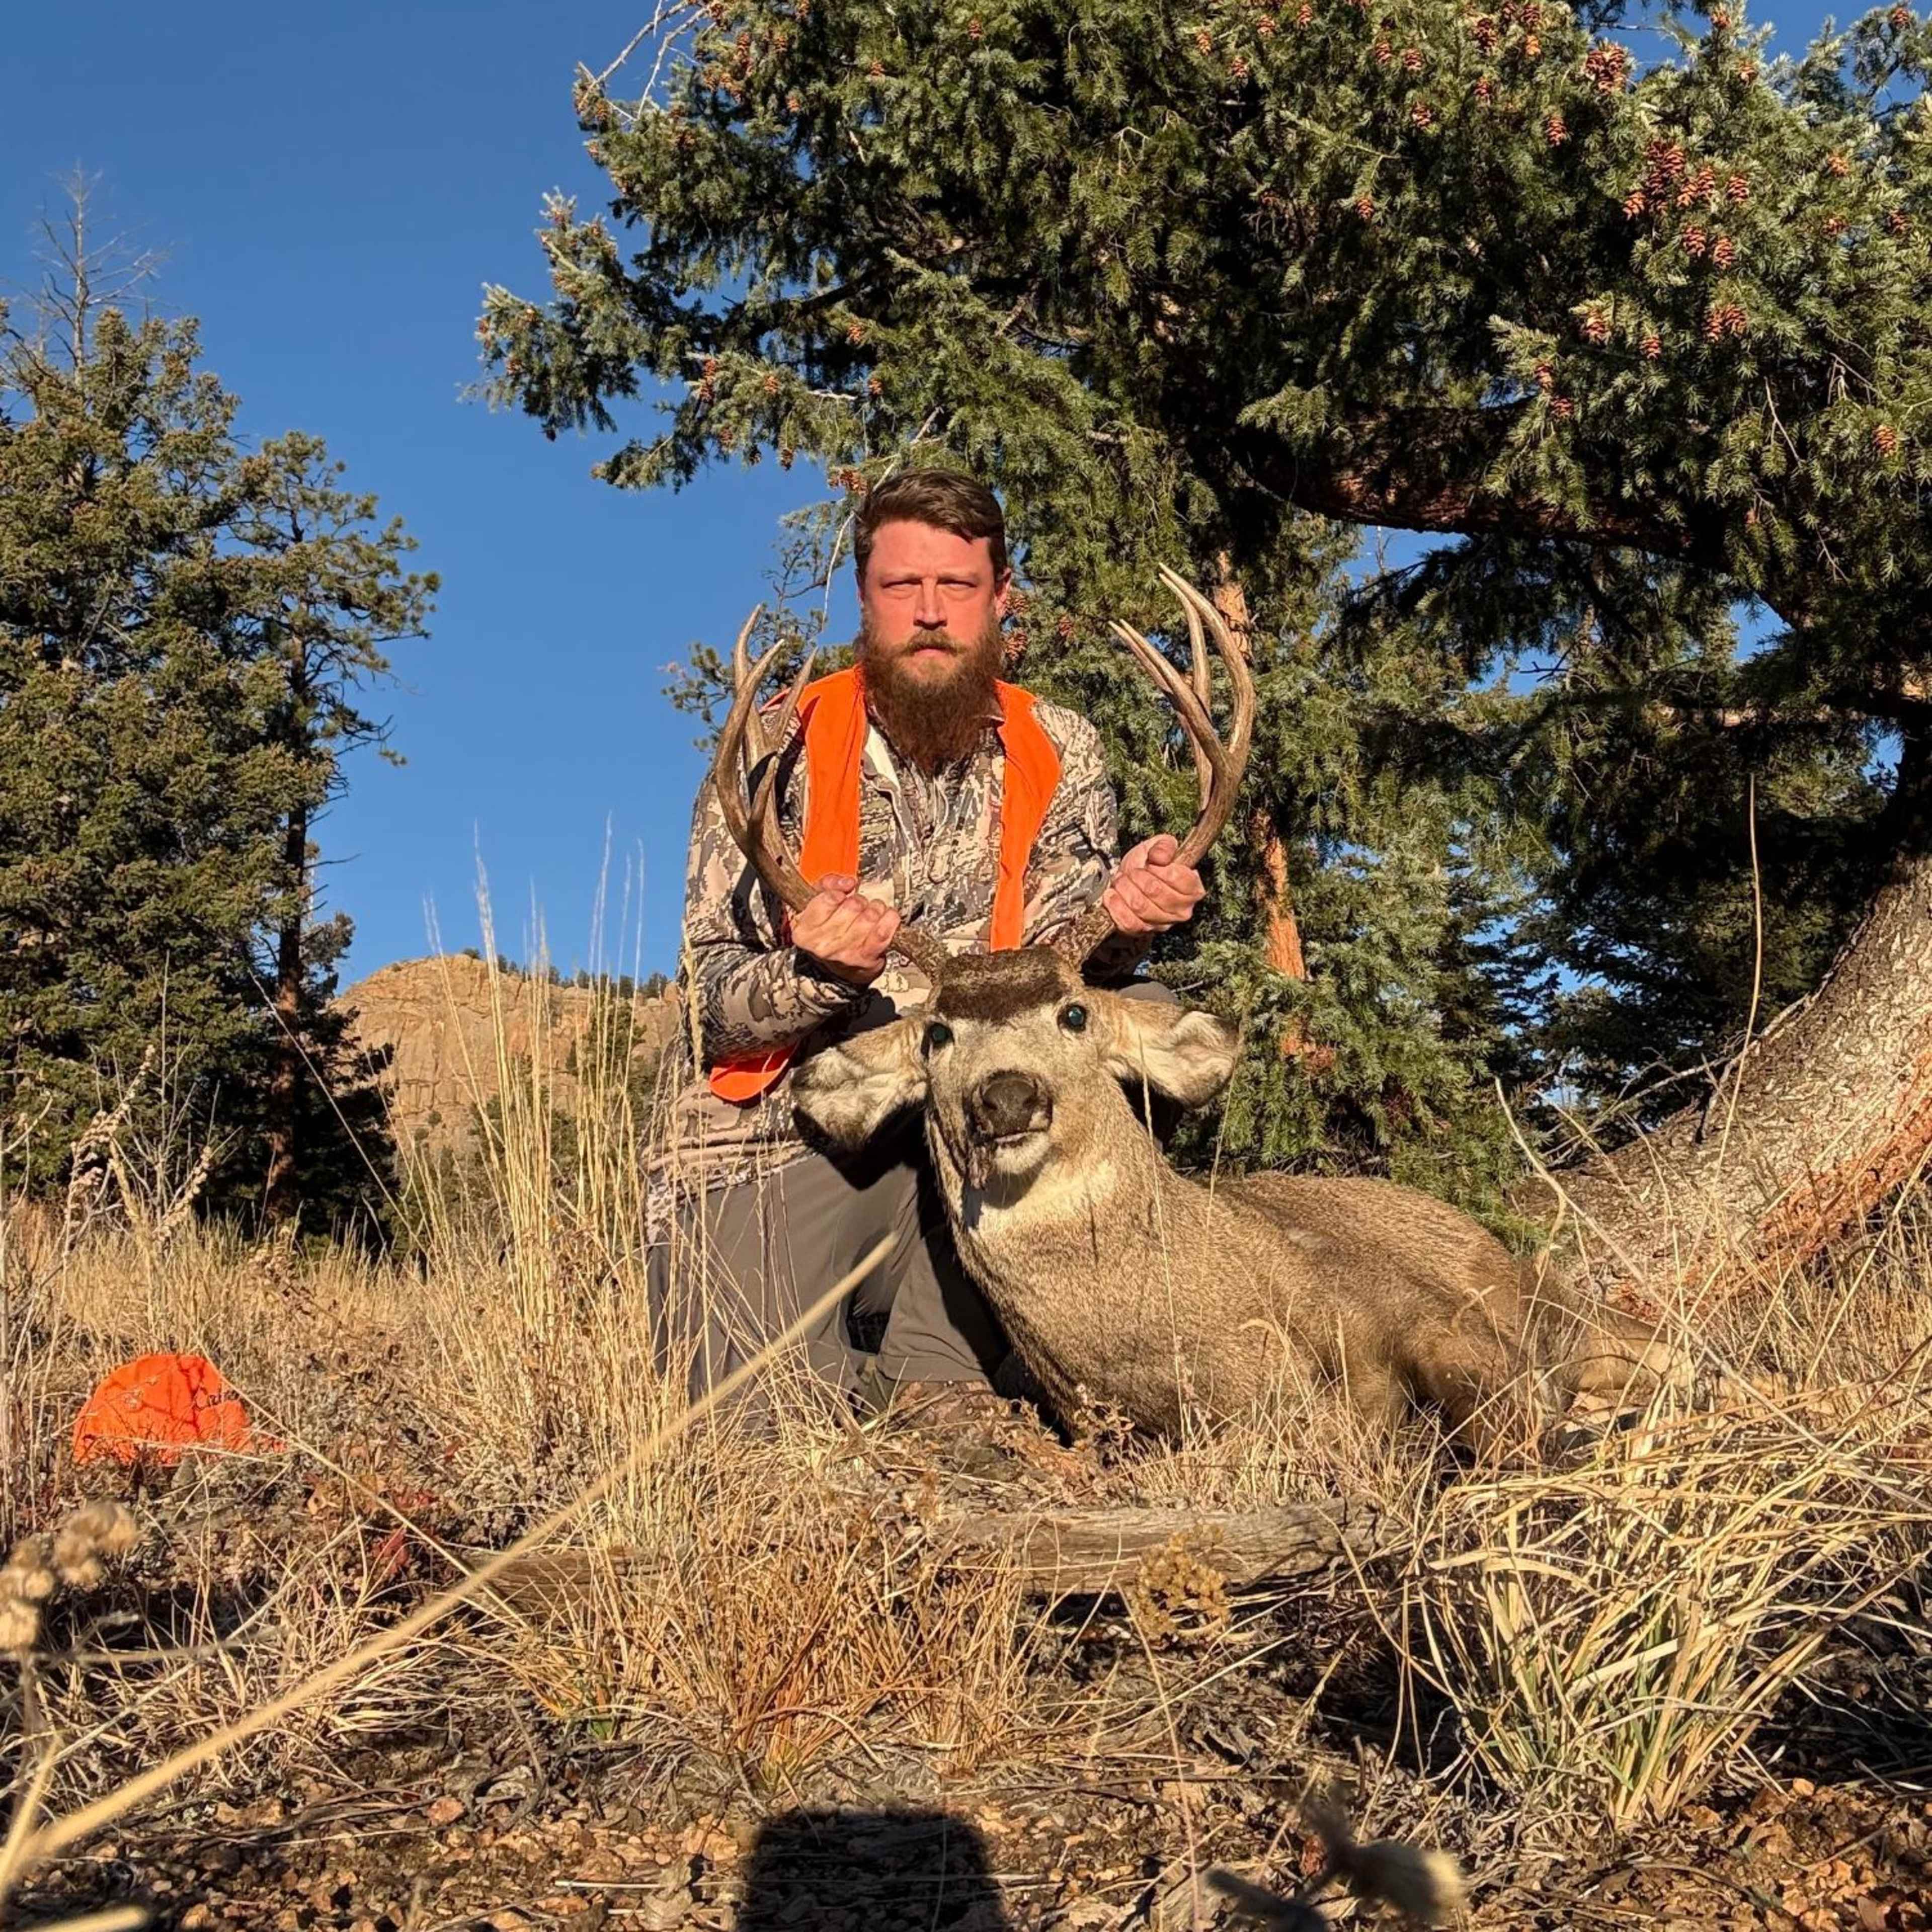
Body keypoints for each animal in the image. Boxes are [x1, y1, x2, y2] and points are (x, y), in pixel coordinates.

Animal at [712, 571, 1678, 1453]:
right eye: (941, 1034)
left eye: (1074, 1015)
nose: (1008, 1097)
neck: (1198, 1348)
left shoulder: (1427, 1314)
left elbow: (1507, 1426)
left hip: (1535, 1289)